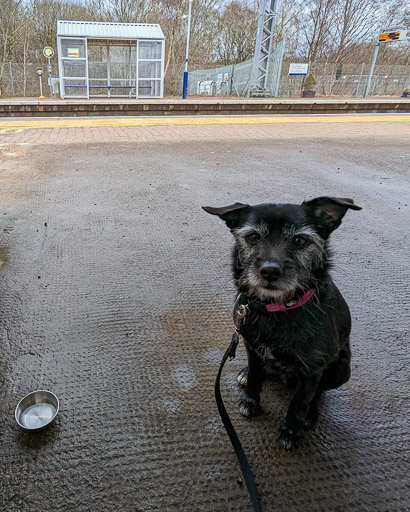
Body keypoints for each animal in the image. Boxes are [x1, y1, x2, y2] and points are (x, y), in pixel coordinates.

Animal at [203, 196, 360, 448]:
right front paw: (250, 399)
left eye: (300, 239)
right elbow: (256, 375)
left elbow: (300, 401)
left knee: (318, 393)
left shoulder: (313, 369)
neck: (277, 309)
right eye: (253, 236)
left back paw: (311, 414)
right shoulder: (252, 345)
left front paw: (291, 429)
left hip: (342, 369)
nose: (269, 271)